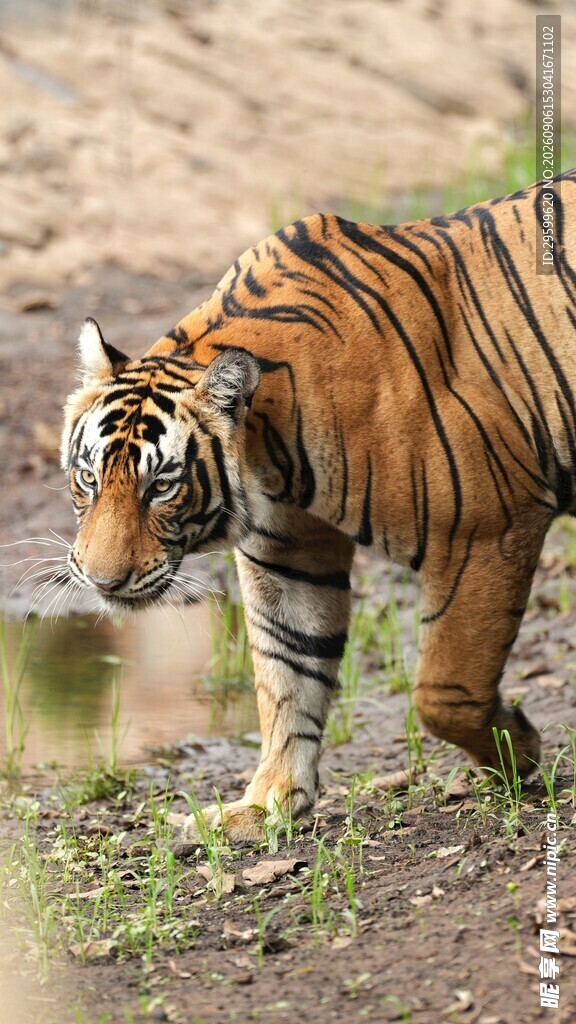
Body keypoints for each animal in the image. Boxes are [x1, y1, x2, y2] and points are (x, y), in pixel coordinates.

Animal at [61, 169, 575, 843]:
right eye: (88, 478)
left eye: (162, 486)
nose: (102, 583)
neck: (272, 458)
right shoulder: (288, 554)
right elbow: (288, 676)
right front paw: (266, 804)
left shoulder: (488, 527)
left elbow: (443, 689)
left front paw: (519, 753)